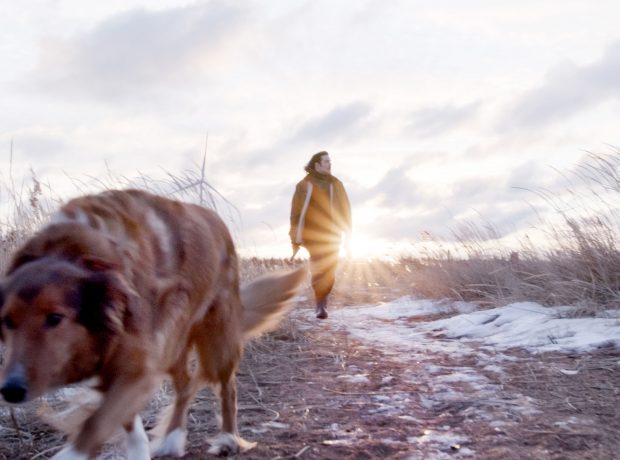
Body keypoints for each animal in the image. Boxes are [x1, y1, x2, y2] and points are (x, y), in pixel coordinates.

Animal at [0, 189, 306, 458]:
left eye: (55, 318)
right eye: (6, 321)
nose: (11, 389)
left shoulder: (139, 367)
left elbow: (97, 423)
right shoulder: (122, 365)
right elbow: (127, 423)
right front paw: (140, 450)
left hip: (216, 340)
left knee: (227, 388)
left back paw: (228, 439)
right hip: (173, 347)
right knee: (186, 386)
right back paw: (173, 438)